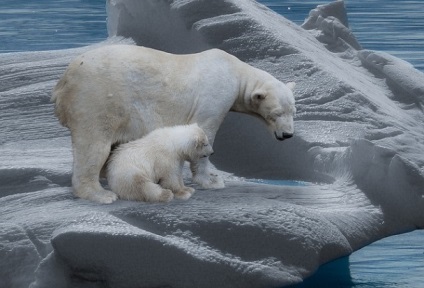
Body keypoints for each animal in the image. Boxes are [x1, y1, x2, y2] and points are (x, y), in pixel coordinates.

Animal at [52, 44, 294, 204]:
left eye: (293, 111)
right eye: (276, 114)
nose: (288, 135)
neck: (235, 71)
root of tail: (63, 82)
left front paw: (213, 176)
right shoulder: (214, 97)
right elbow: (205, 130)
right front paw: (211, 180)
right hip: (96, 99)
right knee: (95, 146)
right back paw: (101, 194)